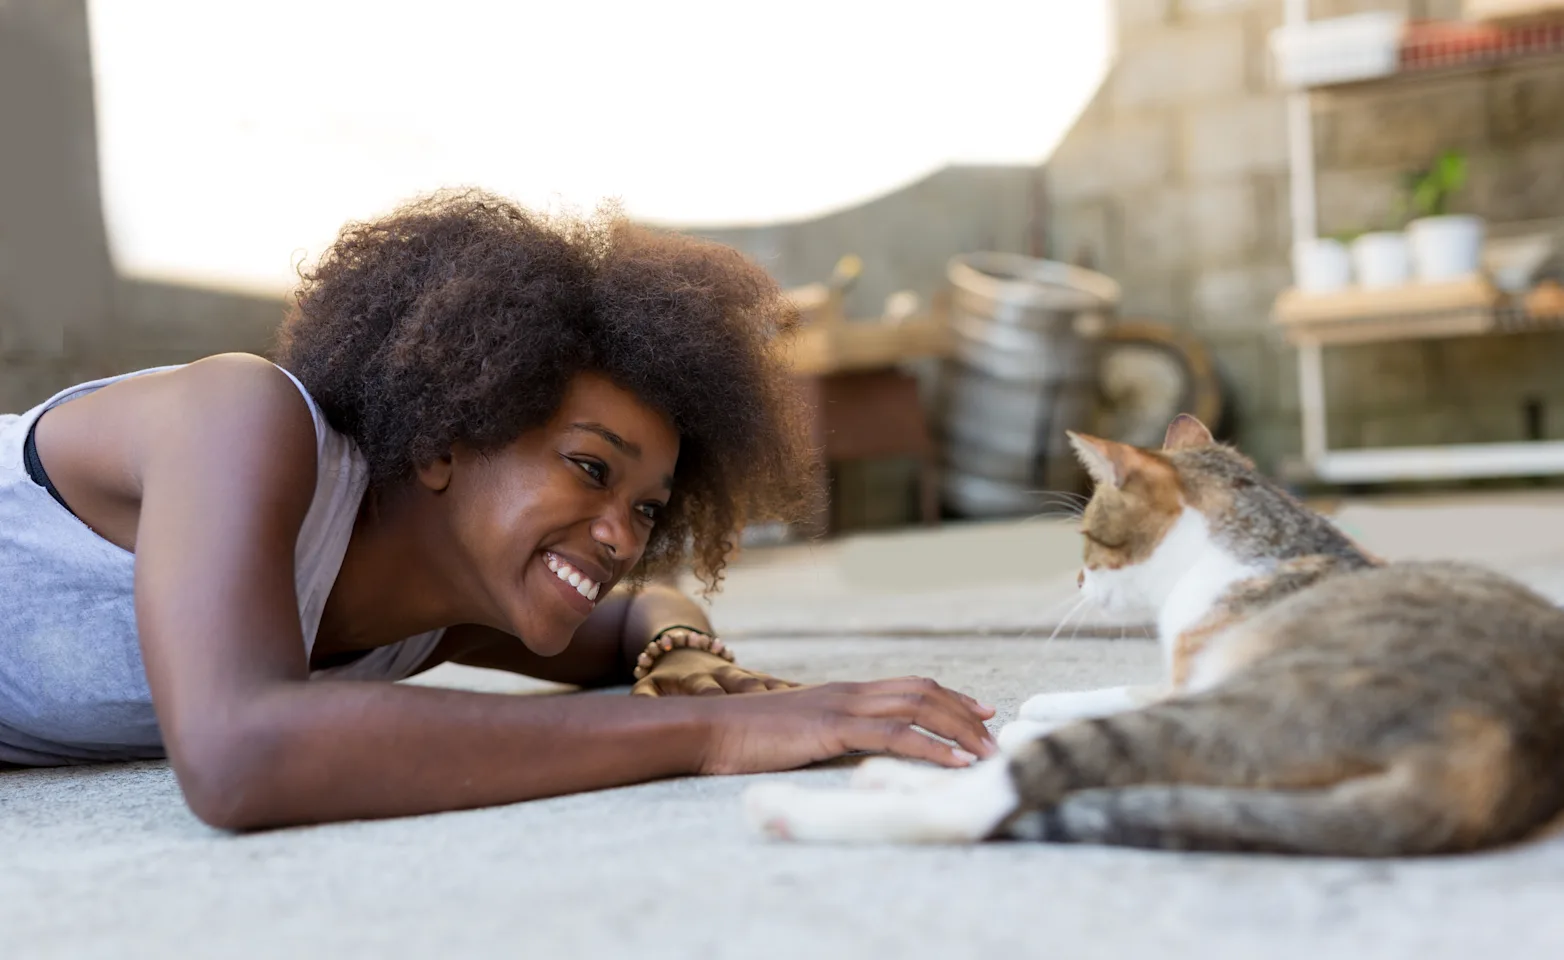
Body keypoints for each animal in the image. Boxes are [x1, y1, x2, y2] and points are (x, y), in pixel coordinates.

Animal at [741, 415, 1564, 856]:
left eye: (1088, 538)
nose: (1077, 581)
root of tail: (1506, 750)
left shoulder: (1187, 678)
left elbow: (1072, 706)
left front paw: (1020, 718)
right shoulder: (1179, 674)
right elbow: (1092, 692)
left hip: (1251, 710)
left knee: (1000, 795)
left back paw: (811, 805)